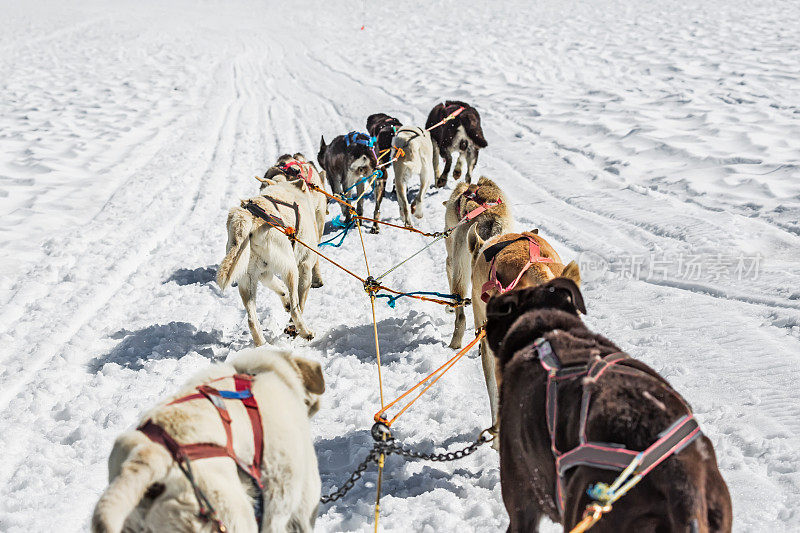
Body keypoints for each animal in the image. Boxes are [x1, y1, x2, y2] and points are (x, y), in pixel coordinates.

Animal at [217, 176, 324, 340]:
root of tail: (248, 217)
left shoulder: (263, 272)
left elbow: (277, 285)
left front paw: (284, 298)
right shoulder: (304, 266)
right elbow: (300, 301)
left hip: (247, 281)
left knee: (252, 321)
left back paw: (262, 344)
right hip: (291, 269)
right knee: (295, 309)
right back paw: (306, 332)